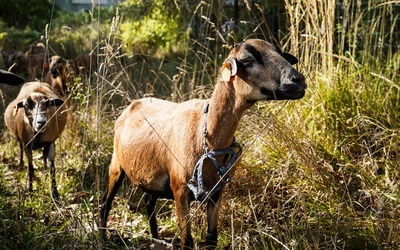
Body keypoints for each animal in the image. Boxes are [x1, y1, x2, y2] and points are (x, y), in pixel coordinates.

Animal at [99, 39, 306, 248]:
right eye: (247, 60)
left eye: (281, 53)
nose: (298, 80)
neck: (206, 135)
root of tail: (132, 105)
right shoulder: (180, 189)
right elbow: (187, 242)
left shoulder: (216, 191)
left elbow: (211, 238)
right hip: (116, 165)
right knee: (105, 202)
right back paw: (103, 238)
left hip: (152, 176)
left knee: (149, 202)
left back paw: (156, 239)